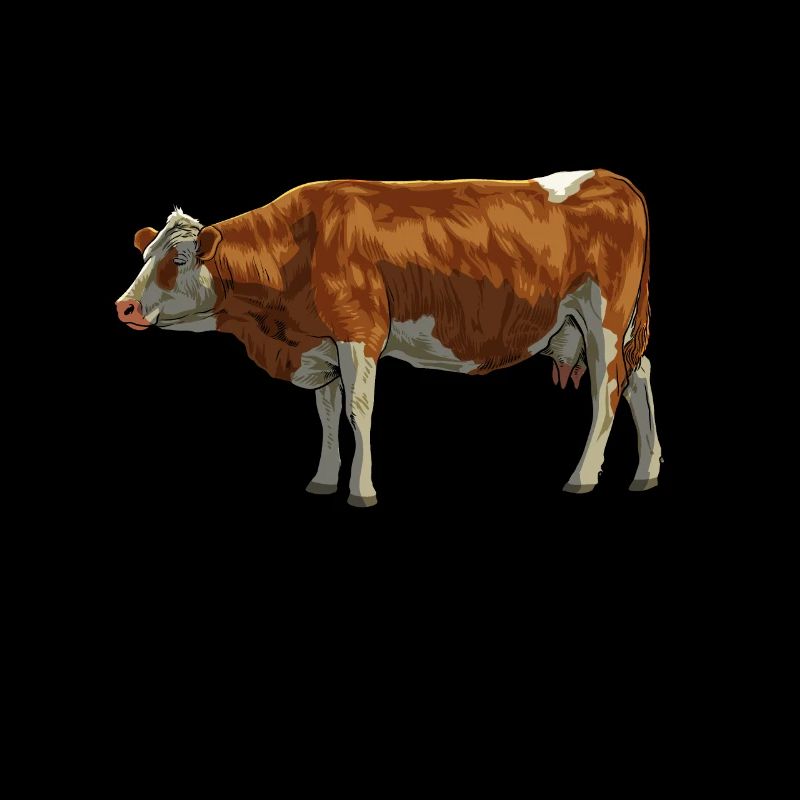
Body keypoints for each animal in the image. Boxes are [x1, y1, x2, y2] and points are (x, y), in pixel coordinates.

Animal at [116, 170, 662, 506]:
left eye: (178, 259)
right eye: (145, 256)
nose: (124, 306)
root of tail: (611, 179)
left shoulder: (359, 330)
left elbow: (358, 413)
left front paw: (361, 490)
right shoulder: (323, 344)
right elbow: (327, 413)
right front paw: (322, 481)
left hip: (604, 319)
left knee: (607, 392)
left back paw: (582, 478)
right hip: (612, 328)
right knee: (640, 377)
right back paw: (647, 472)